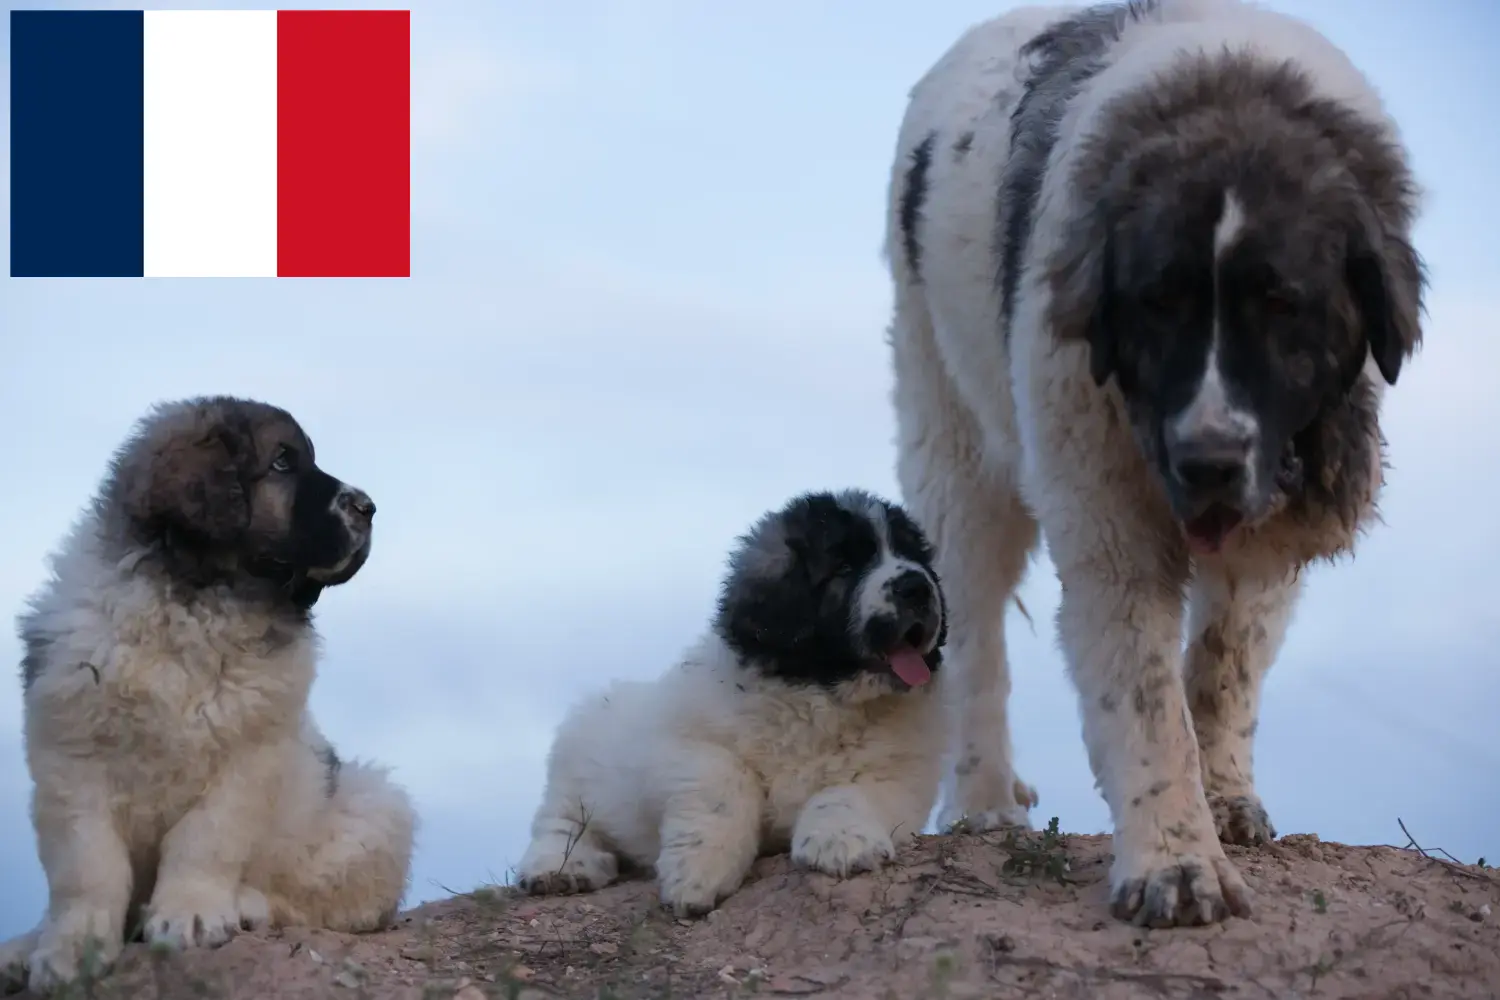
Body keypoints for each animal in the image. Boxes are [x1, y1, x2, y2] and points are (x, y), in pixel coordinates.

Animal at [0, 395, 417, 995]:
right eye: (283, 462)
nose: (368, 507)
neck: (196, 601)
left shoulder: (248, 757)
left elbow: (205, 837)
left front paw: (191, 914)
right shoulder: (71, 760)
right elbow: (87, 866)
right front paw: (68, 949)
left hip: (370, 808)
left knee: (319, 899)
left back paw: (247, 904)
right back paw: (23, 947)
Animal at [516, 488, 948, 917]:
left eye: (914, 556)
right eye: (844, 566)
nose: (917, 586)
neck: (823, 697)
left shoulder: (902, 770)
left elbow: (849, 792)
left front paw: (842, 841)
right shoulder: (678, 744)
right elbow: (721, 779)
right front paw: (698, 872)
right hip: (575, 771)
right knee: (561, 823)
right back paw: (563, 867)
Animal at [882, 0, 1422, 929]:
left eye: (1282, 306)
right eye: (1157, 304)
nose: (1207, 461)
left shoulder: (1273, 511)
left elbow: (1223, 666)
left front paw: (1224, 794)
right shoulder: (1105, 516)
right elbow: (1144, 700)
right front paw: (1175, 863)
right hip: (951, 434)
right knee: (974, 628)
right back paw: (982, 799)